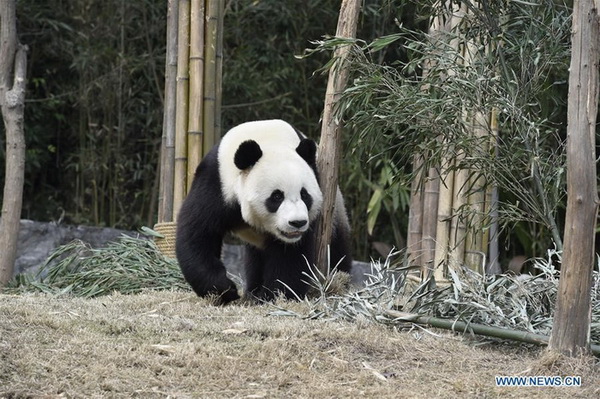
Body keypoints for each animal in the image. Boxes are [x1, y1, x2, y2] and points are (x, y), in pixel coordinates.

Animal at [175, 120, 352, 304]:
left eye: (305, 195)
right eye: (277, 196)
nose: (297, 223)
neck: (269, 139)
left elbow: (290, 256)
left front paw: (275, 295)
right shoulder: (216, 183)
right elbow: (199, 233)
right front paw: (226, 290)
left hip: (336, 211)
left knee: (337, 248)